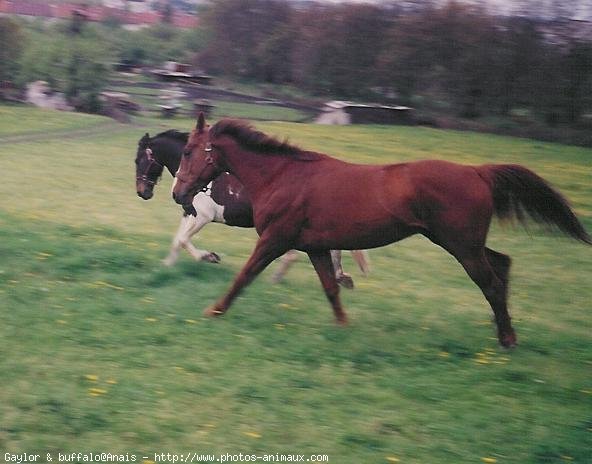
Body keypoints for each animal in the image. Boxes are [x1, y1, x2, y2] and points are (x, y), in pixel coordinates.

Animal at [136, 129, 368, 284]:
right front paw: (166, 267)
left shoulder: (203, 216)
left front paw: (210, 257)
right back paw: (340, 277)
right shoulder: (188, 212)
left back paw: (276, 279)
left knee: (294, 255)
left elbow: (184, 240)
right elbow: (177, 241)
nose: (142, 192)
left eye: (139, 160)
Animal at [173, 114, 588, 348]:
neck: (283, 176)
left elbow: (244, 276)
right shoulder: (314, 246)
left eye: (189, 151)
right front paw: (343, 326)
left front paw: (214, 310)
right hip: (463, 242)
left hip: (461, 245)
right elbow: (330, 288)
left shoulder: (275, 239)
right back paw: (501, 329)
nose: (178, 193)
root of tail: (477, 172)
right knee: (502, 264)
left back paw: (507, 338)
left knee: (491, 282)